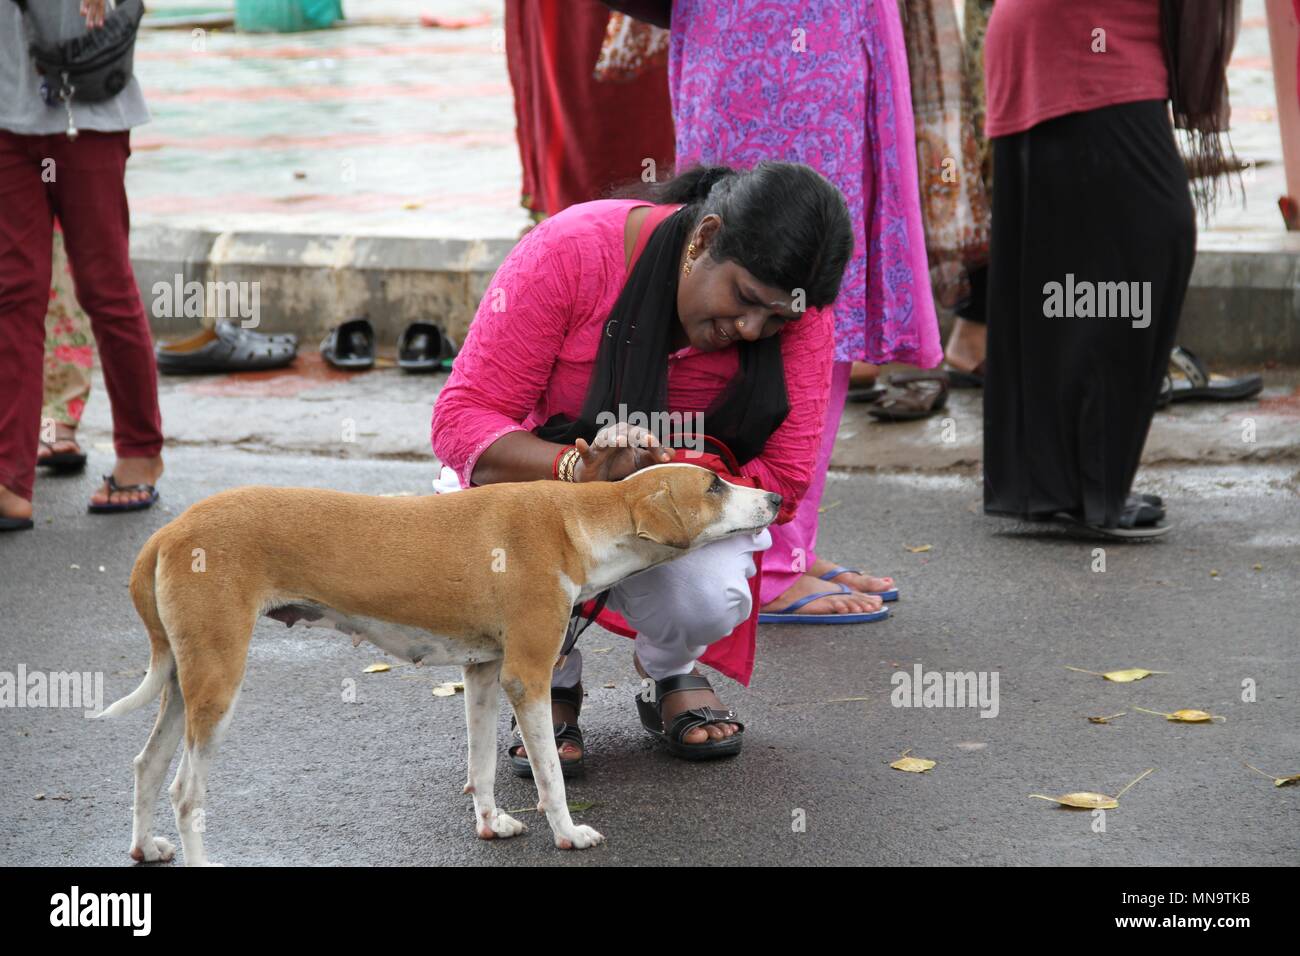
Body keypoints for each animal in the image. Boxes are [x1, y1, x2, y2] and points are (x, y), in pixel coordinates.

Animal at [96, 463, 780, 868]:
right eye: (715, 485)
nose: (775, 495)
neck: (577, 521)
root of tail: (170, 532)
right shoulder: (527, 676)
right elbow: (552, 777)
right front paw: (568, 833)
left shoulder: (484, 674)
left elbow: (480, 765)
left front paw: (491, 825)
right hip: (217, 682)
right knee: (185, 792)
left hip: (185, 681)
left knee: (147, 765)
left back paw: (143, 846)